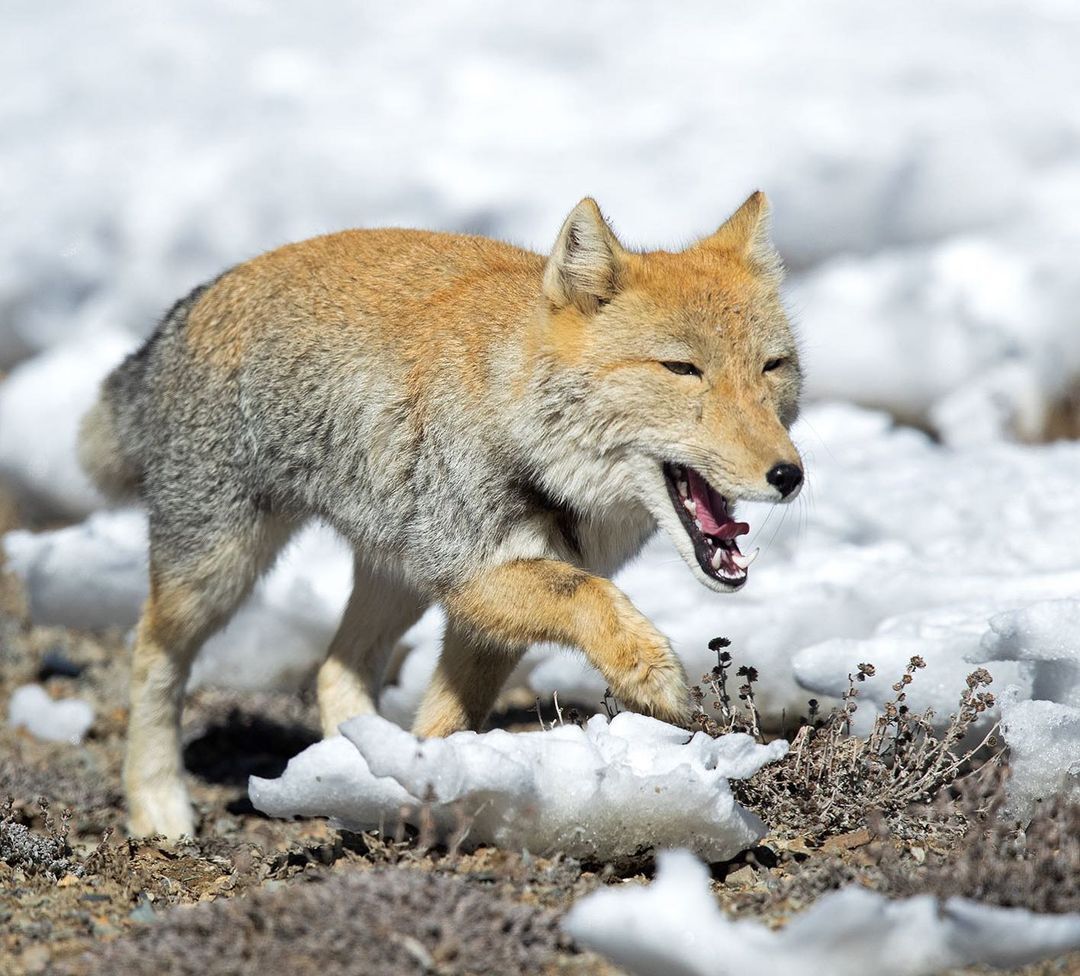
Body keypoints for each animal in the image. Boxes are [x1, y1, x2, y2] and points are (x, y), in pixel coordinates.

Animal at [79, 192, 803, 837]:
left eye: (772, 367)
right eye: (683, 369)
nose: (790, 476)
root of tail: (189, 304)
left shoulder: (480, 612)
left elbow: (448, 719)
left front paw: (437, 787)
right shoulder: (468, 575)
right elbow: (590, 596)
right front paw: (649, 673)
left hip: (394, 578)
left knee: (335, 671)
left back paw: (351, 779)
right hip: (218, 575)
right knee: (151, 659)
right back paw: (158, 807)